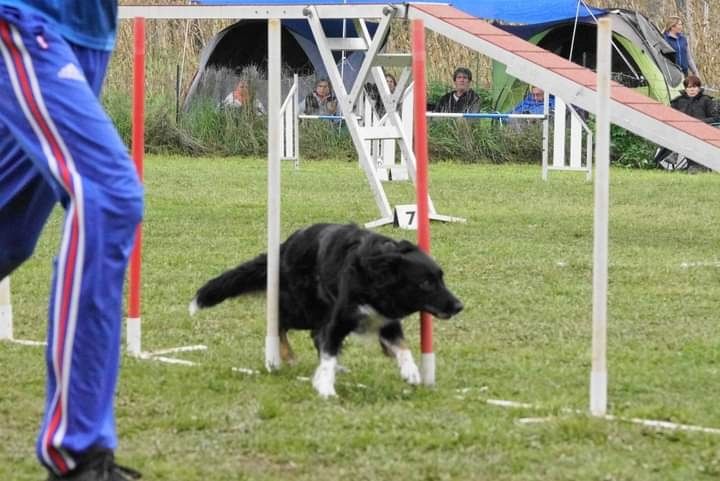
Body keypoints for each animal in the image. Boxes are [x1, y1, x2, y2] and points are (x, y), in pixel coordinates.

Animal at [188, 223, 464, 396]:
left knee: (313, 334)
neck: (376, 275)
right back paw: (286, 356)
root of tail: (285, 245)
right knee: (279, 324)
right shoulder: (340, 320)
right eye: (426, 283)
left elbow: (403, 348)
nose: (459, 305)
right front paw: (325, 387)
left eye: (441, 278)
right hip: (304, 308)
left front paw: (411, 372)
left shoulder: (387, 321)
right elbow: (329, 354)